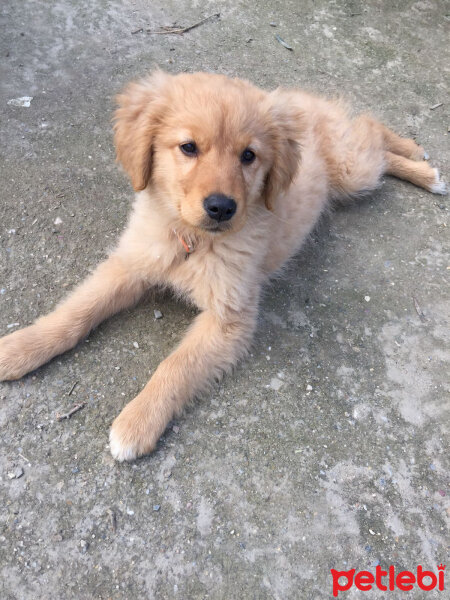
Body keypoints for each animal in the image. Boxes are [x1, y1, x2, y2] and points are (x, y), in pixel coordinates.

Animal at [0, 72, 444, 462]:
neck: (191, 239)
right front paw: (21, 348)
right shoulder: (131, 263)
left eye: (249, 156)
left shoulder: (229, 317)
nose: (221, 207)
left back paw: (422, 164)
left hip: (353, 171)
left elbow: (175, 366)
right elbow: (75, 312)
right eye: (188, 147)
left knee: (372, 133)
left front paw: (137, 423)